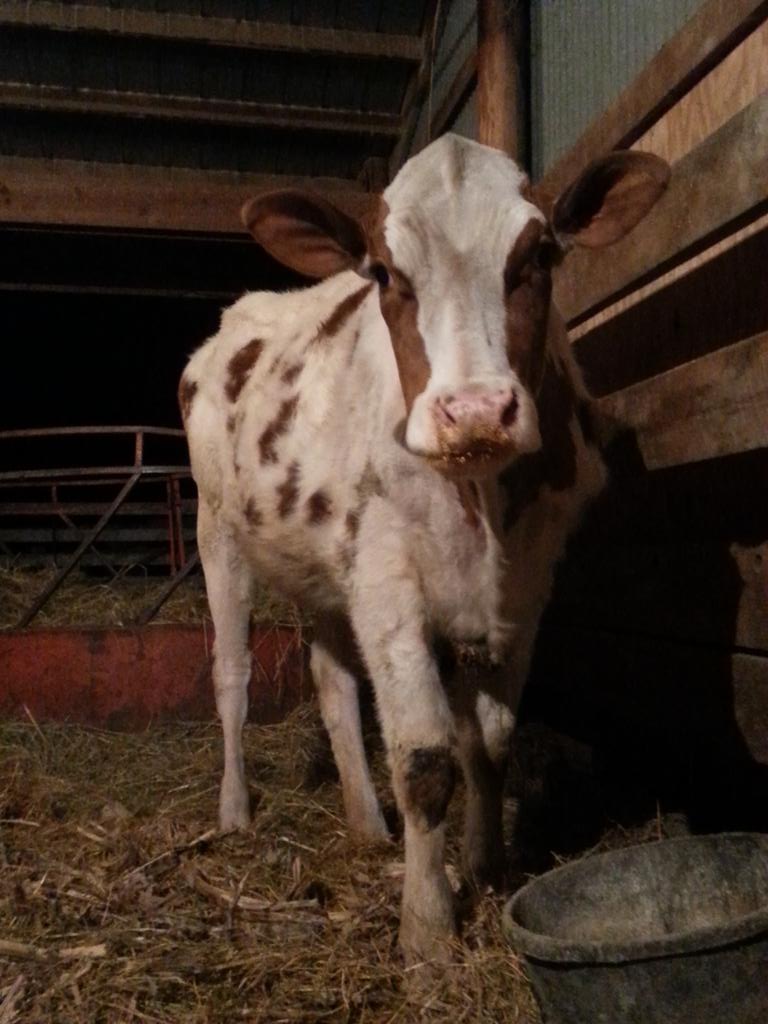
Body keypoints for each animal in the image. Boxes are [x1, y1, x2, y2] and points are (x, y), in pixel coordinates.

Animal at [179, 133, 669, 963]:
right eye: (383, 272)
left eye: (540, 254)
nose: (472, 410)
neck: (479, 500)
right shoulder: (387, 582)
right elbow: (425, 757)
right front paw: (429, 927)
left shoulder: (525, 584)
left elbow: (491, 741)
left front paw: (488, 866)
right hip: (220, 534)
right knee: (231, 677)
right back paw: (236, 809)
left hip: (326, 569)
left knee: (333, 682)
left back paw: (366, 821)